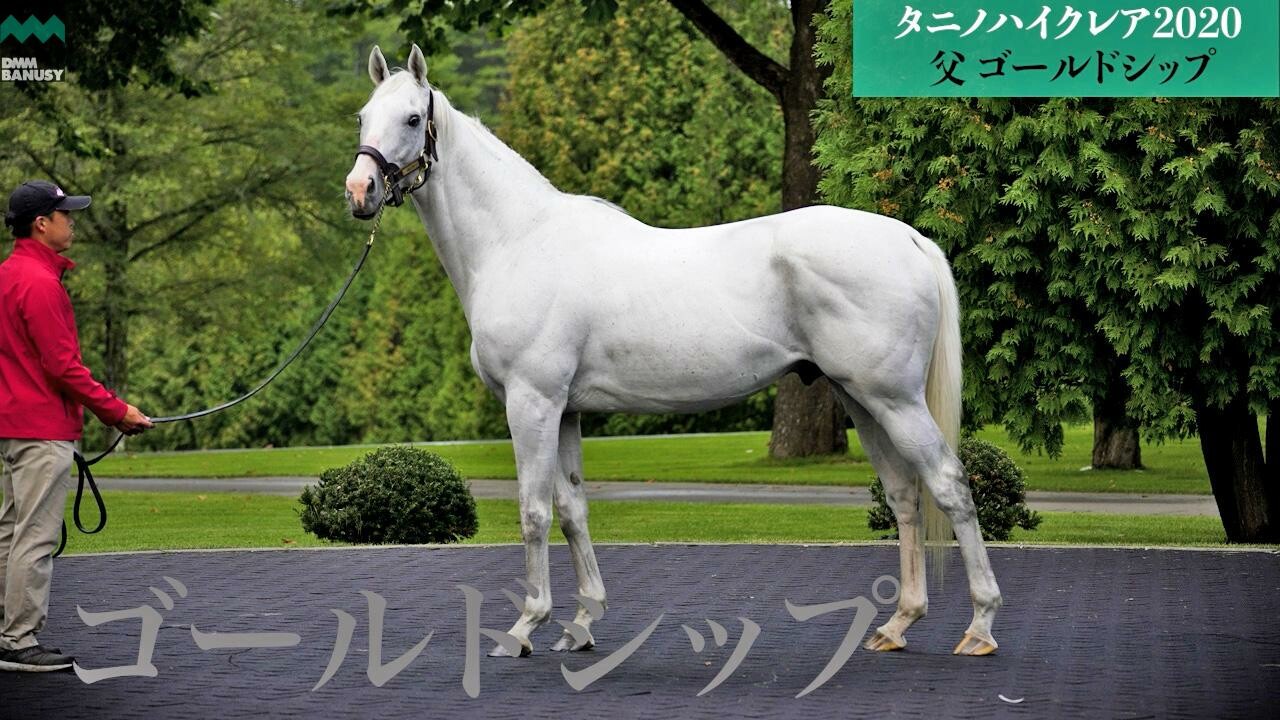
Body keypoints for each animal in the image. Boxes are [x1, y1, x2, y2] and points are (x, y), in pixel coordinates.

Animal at [348, 46, 998, 655]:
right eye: (362, 116)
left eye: (413, 118)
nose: (361, 190)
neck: (519, 241)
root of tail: (910, 239)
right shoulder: (566, 410)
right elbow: (572, 509)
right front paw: (583, 623)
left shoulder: (532, 403)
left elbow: (534, 513)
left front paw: (527, 626)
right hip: (860, 400)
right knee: (905, 494)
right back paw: (898, 623)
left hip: (895, 400)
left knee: (948, 484)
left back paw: (980, 626)